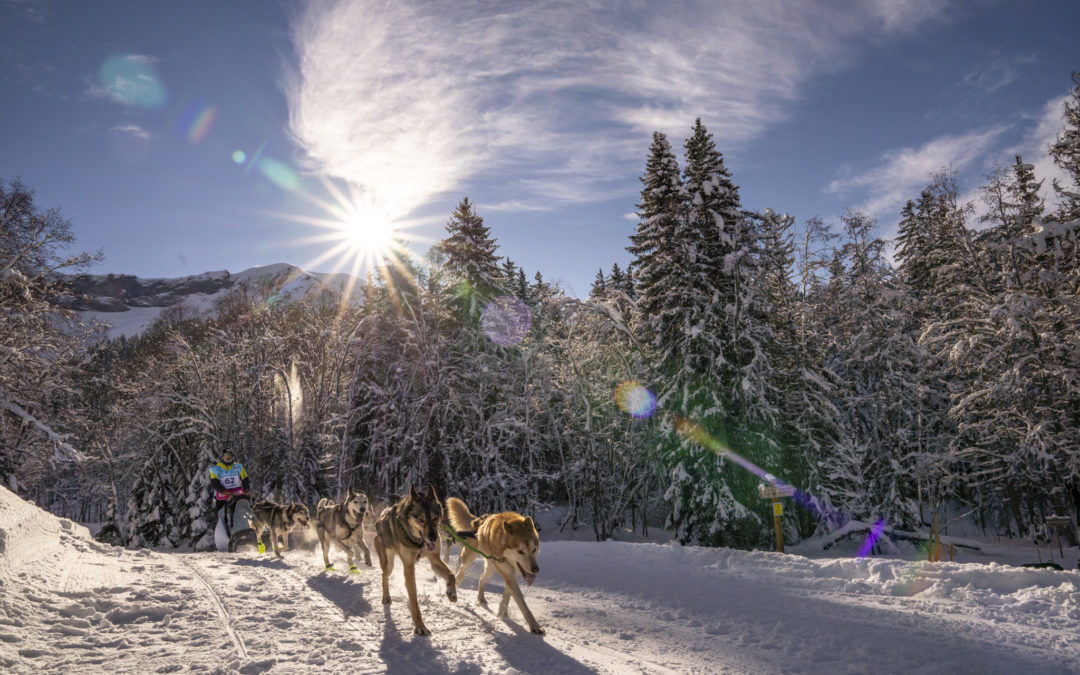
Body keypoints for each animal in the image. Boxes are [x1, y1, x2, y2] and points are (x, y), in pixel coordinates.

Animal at [375, 483, 455, 630]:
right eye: (421, 520)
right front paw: (420, 626)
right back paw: (386, 597)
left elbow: (451, 575)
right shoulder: (409, 566)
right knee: (384, 576)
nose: (433, 538)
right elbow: (413, 597)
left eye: (435, 518)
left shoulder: (434, 560)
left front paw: (452, 593)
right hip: (389, 563)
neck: (419, 543)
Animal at [444, 494, 544, 630]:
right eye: (520, 551)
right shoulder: (508, 574)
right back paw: (458, 580)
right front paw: (534, 626)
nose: (535, 569)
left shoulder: (512, 574)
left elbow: (508, 595)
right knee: (462, 568)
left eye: (534, 550)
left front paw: (503, 611)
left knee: (482, 577)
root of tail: (478, 521)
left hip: (491, 567)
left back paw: (481, 598)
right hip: (470, 556)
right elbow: (522, 603)